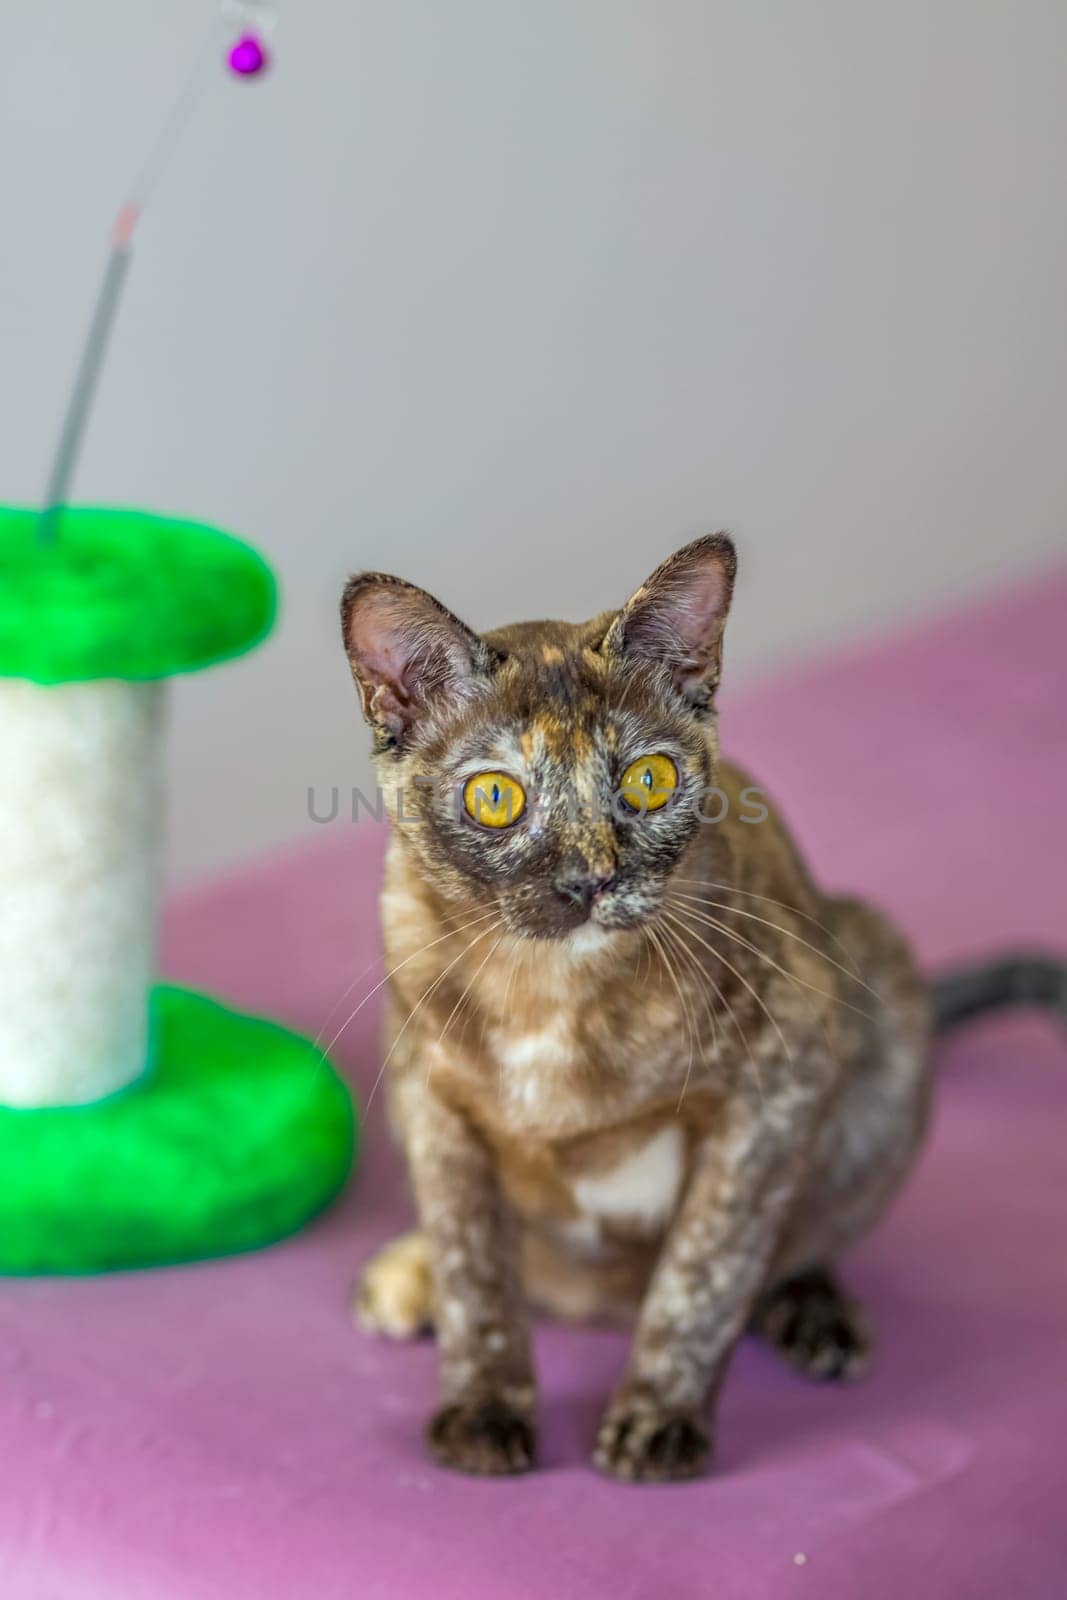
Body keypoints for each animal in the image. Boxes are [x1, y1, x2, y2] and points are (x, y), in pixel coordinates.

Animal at [342, 537, 1067, 1484]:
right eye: (495, 797)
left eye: (648, 781)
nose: (590, 878)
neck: (549, 992)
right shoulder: (431, 1100)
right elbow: (477, 1274)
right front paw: (482, 1408)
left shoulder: (778, 1082)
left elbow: (705, 1269)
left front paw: (658, 1418)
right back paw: (411, 1271)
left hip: (879, 982)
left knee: (798, 1235)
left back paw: (811, 1313)